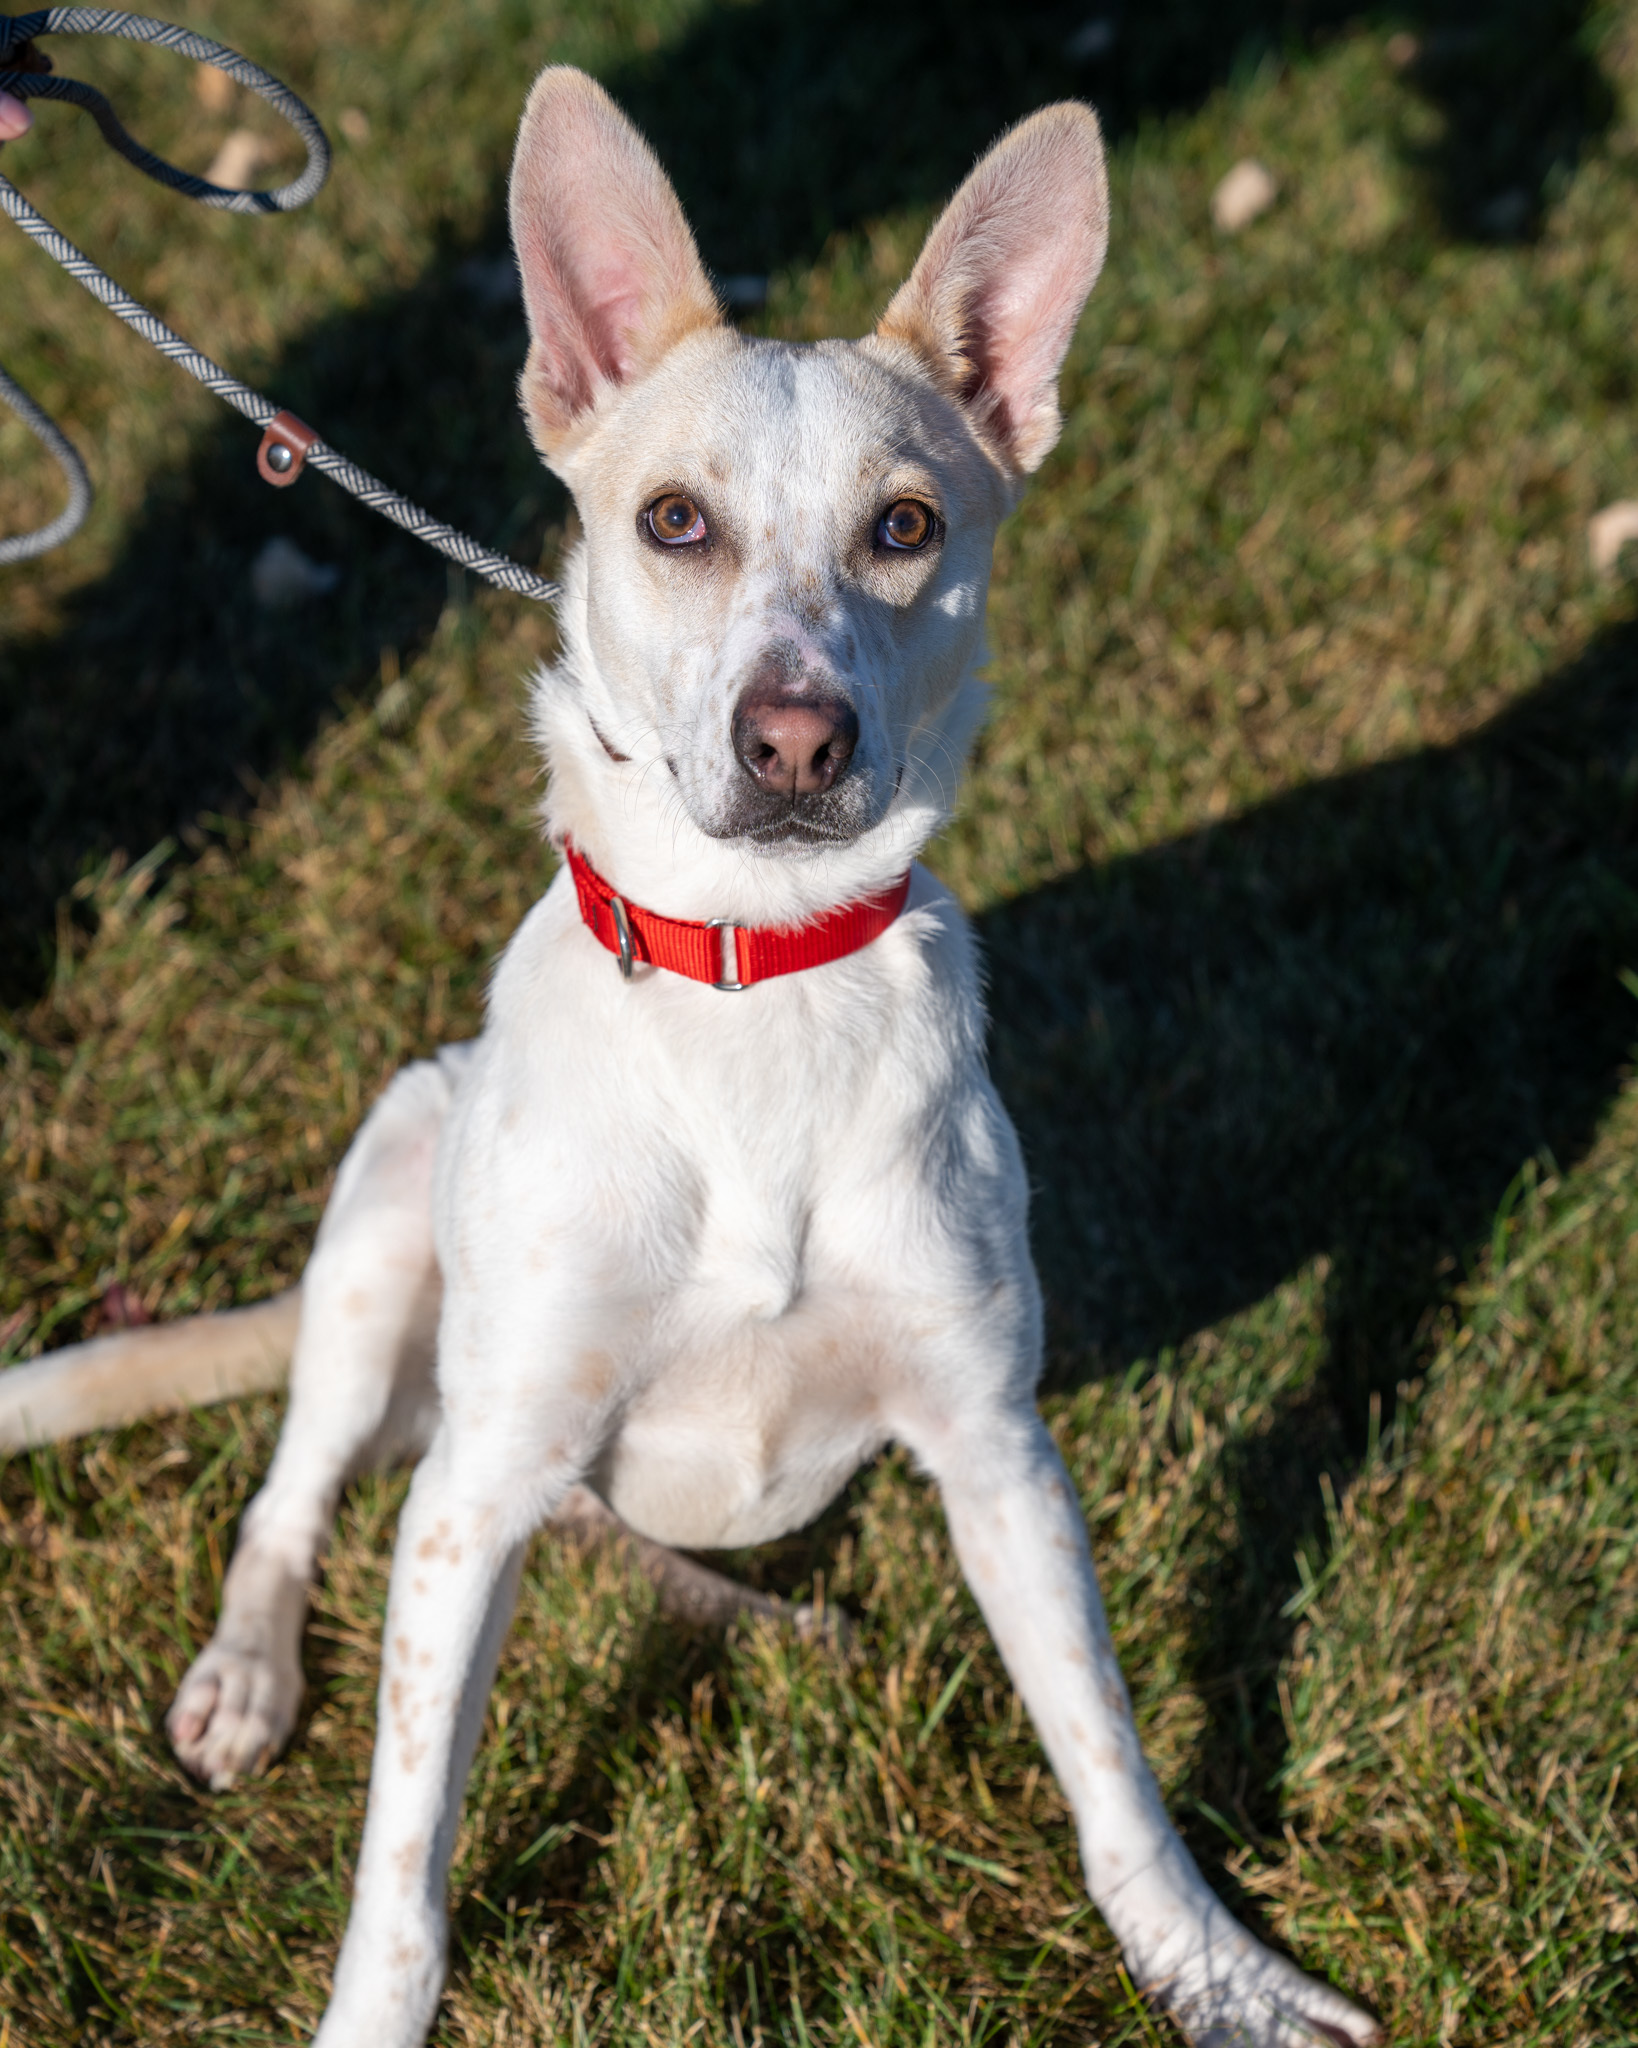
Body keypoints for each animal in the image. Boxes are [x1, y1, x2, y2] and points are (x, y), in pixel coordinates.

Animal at [3, 64, 1384, 2048]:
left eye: (905, 527)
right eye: (670, 522)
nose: (795, 740)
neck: (755, 988)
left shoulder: (999, 1455)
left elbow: (1112, 1769)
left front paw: (1218, 1975)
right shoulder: (473, 1497)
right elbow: (404, 1875)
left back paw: (767, 1620)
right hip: (389, 1211)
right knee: (298, 1485)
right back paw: (250, 1675)